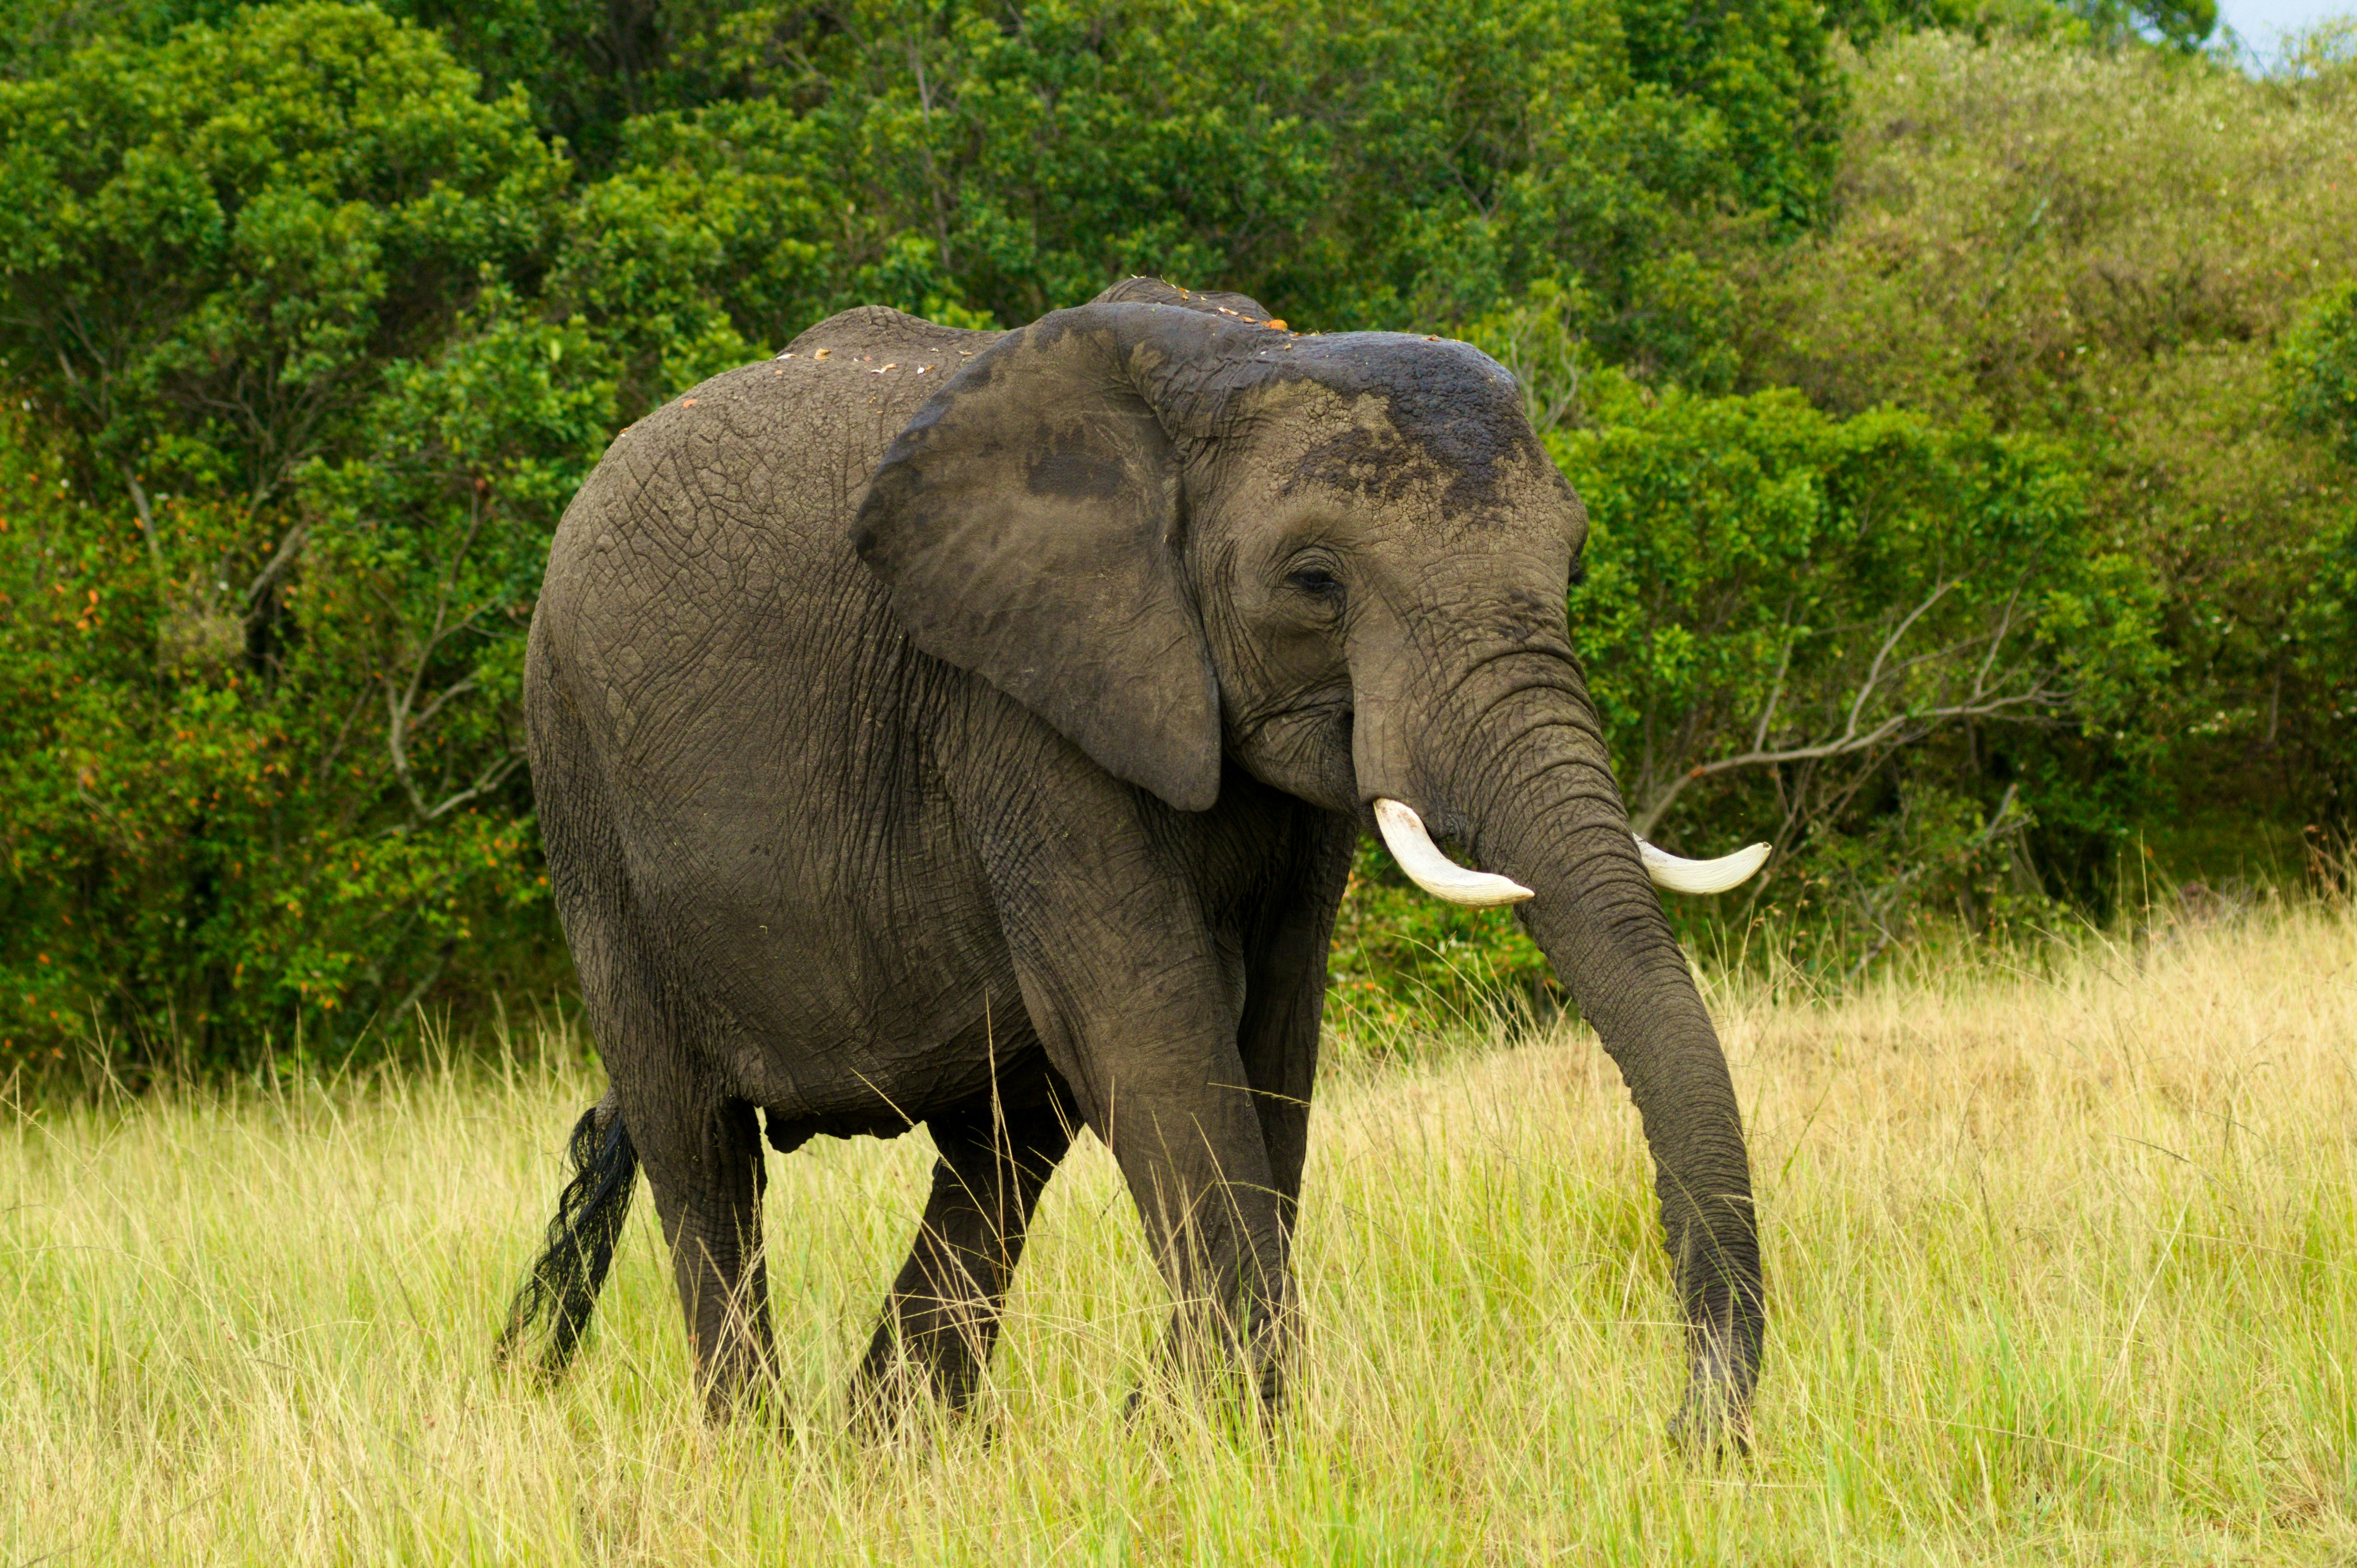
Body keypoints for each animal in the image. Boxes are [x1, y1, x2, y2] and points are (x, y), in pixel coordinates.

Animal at [499, 276, 1768, 1448]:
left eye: (1572, 562)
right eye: (1315, 581)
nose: (1681, 1430)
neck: (1229, 369)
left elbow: (1270, 1046)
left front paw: (1170, 1432)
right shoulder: (1018, 700)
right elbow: (1152, 1028)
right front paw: (1230, 1444)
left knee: (999, 1148)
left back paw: (891, 1453)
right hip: (579, 776)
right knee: (702, 1152)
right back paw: (770, 1458)